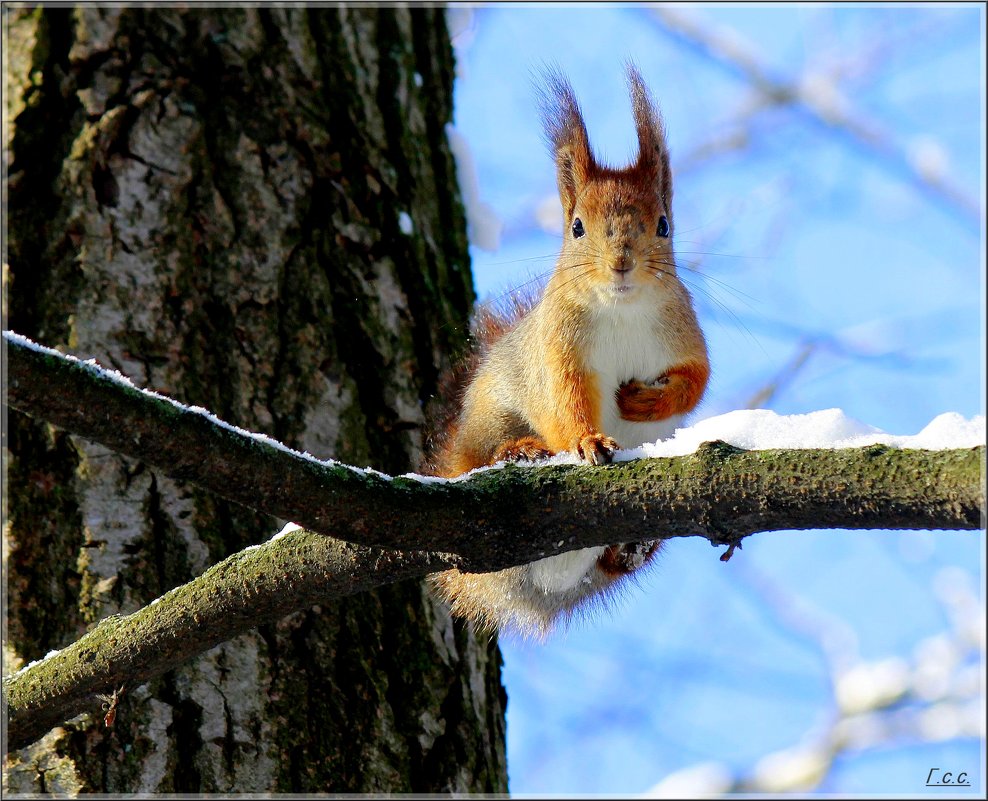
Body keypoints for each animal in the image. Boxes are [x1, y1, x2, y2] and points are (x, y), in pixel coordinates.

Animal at [424, 64, 712, 636]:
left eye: (663, 225)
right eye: (577, 227)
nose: (622, 262)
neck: (621, 309)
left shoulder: (683, 334)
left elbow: (695, 380)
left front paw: (646, 402)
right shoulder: (557, 350)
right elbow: (564, 398)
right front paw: (587, 439)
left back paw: (630, 549)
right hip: (486, 423)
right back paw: (519, 451)